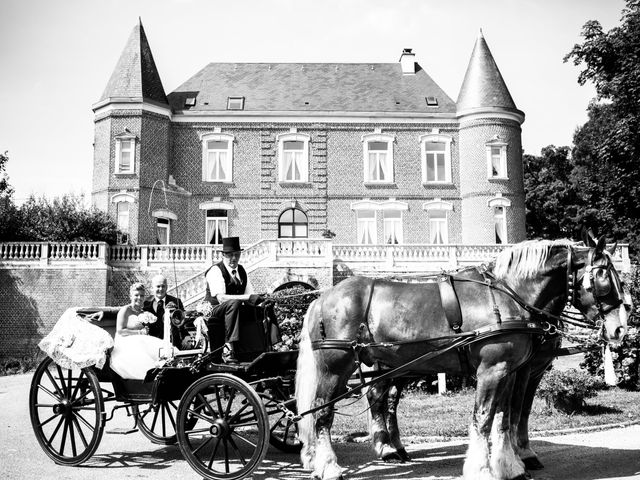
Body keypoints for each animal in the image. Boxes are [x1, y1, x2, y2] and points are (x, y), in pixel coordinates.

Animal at [298, 236, 628, 480]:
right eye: (603, 278)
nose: (620, 328)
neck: (508, 295)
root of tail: (323, 297)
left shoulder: (510, 371)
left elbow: (504, 418)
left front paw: (511, 466)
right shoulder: (494, 371)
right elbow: (485, 418)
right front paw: (483, 468)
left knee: (381, 401)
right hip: (337, 367)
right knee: (322, 412)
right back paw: (329, 466)